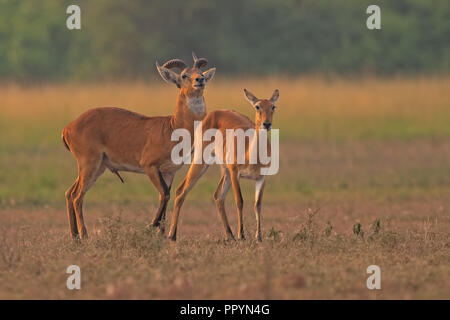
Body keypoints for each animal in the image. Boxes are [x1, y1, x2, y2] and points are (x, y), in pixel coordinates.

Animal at [62, 52, 215, 239]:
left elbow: (165, 196)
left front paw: (161, 234)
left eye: (199, 72)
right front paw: (151, 226)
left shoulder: (169, 172)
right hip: (89, 164)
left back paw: (75, 236)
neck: (172, 127)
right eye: (184, 75)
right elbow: (164, 194)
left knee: (69, 193)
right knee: (77, 196)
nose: (200, 80)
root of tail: (68, 128)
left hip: (98, 168)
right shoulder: (150, 166)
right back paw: (84, 235)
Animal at [167, 89, 278, 241]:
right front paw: (241, 235)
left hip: (225, 171)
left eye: (273, 106)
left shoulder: (262, 177)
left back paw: (229, 235)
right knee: (181, 190)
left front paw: (259, 237)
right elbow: (239, 201)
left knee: (218, 196)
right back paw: (172, 235)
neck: (250, 153)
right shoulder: (235, 173)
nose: (266, 124)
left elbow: (258, 205)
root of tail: (212, 114)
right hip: (202, 161)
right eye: (257, 106)